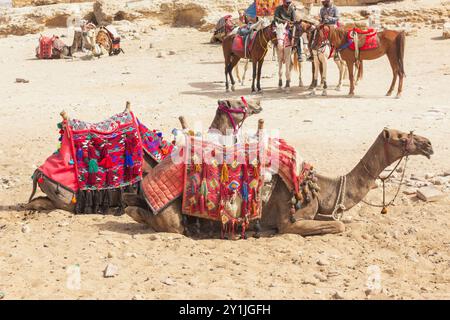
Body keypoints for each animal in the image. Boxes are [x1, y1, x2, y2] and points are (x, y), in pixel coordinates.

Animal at [125, 128, 434, 238]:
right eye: (400, 137)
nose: (428, 144)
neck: (323, 188)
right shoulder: (290, 220)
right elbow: (338, 225)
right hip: (169, 212)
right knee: (166, 223)